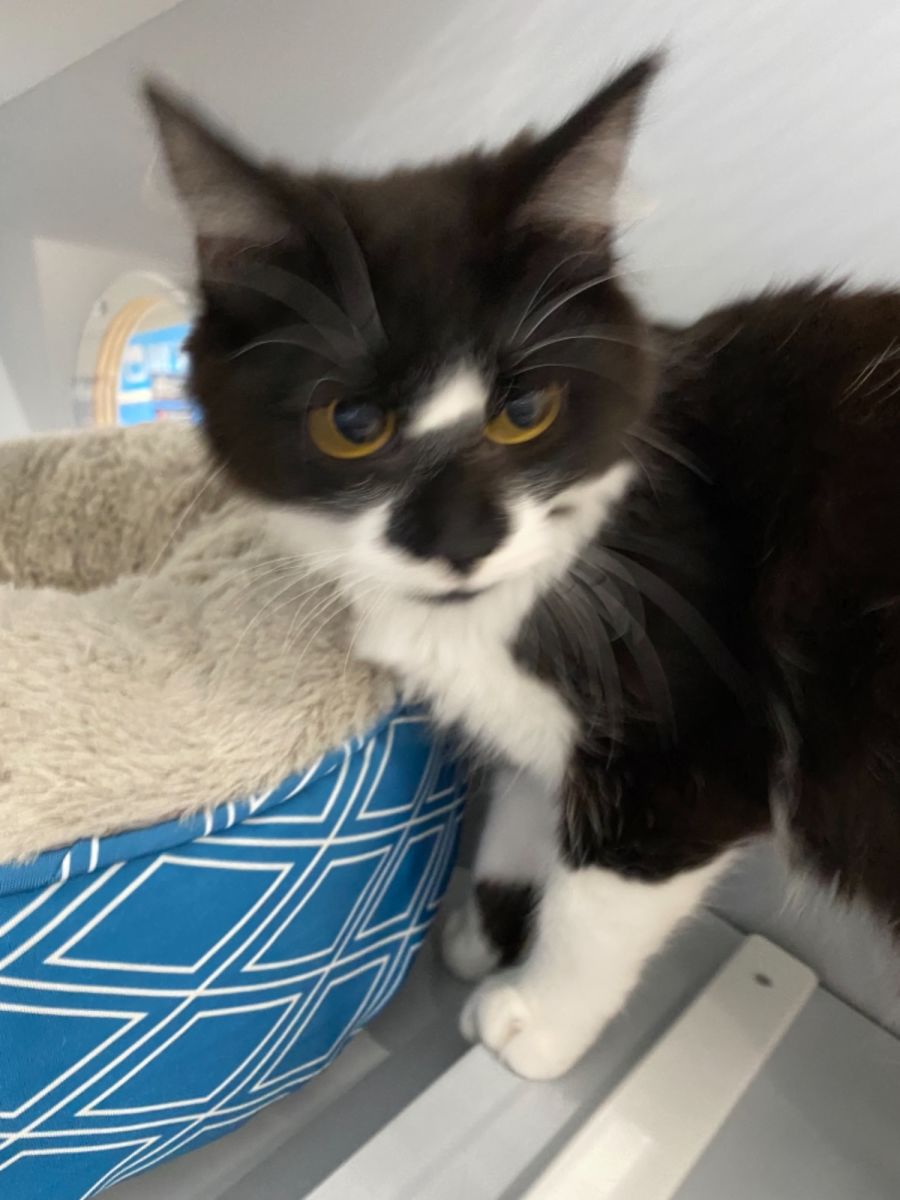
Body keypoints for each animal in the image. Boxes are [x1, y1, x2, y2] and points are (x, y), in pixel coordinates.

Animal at [147, 56, 900, 1079]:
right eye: (353, 424)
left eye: (526, 411)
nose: (461, 540)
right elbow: (525, 798)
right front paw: (486, 924)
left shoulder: (693, 720)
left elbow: (606, 888)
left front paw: (533, 1016)